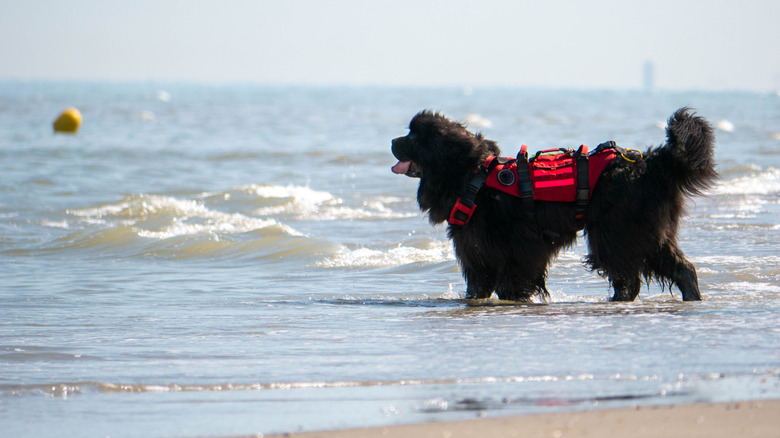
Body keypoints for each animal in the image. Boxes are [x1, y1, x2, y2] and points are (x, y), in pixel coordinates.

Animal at [394, 108, 716, 302]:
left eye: (413, 137)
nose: (392, 141)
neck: (474, 175)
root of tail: (651, 163)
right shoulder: (476, 248)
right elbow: (479, 282)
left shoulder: (524, 243)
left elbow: (513, 278)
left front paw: (515, 296)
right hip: (646, 233)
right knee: (682, 268)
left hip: (616, 233)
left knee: (629, 278)